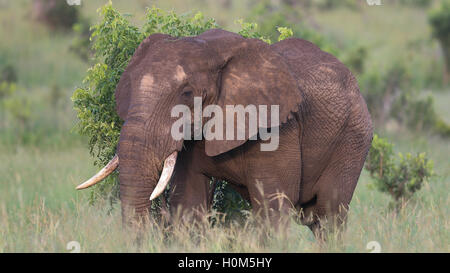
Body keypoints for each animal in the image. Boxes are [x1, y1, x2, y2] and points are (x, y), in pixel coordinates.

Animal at [76, 28, 372, 235]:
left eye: (187, 94)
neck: (209, 49)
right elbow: (189, 203)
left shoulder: (278, 128)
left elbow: (272, 207)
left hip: (353, 137)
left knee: (329, 216)